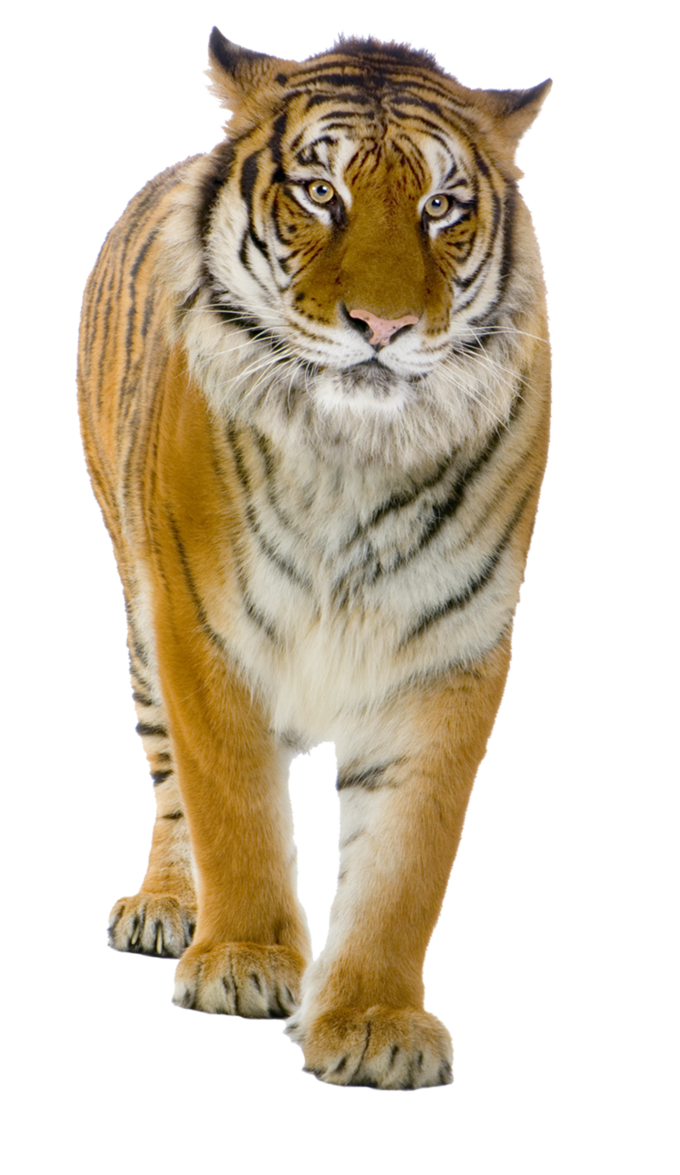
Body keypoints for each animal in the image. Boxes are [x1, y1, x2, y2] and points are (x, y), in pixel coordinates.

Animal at [76, 25, 552, 1090]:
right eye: (321, 192)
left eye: (441, 206)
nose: (382, 328)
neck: (353, 453)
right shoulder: (203, 627)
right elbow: (234, 810)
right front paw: (245, 963)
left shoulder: (449, 650)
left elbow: (405, 862)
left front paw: (375, 1019)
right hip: (137, 612)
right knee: (170, 786)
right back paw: (167, 907)